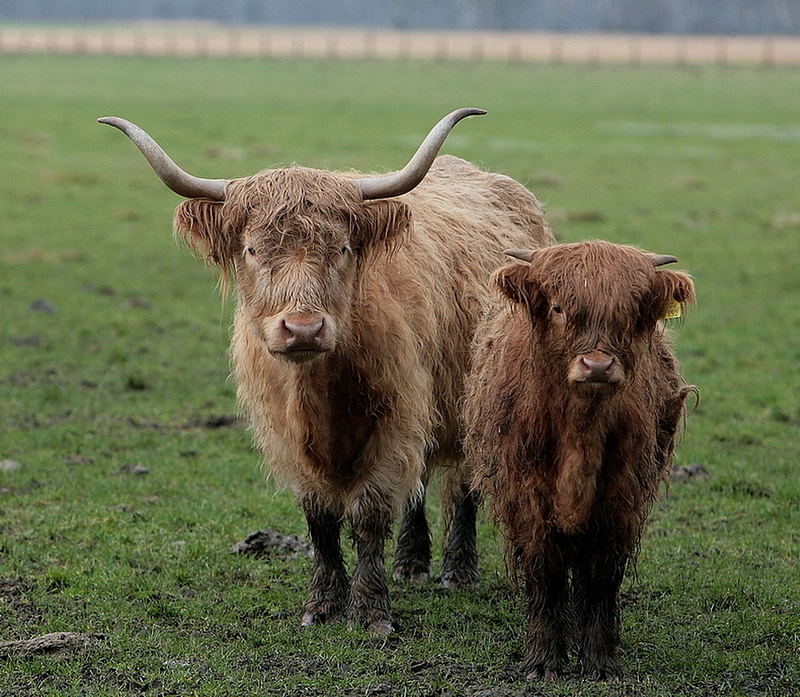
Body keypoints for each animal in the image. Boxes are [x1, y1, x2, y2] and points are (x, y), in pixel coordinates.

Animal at [100, 107, 556, 632]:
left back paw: (458, 572)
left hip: (472, 398)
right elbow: (320, 517)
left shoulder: (396, 419)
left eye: (341, 249)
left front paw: (370, 612)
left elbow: (369, 512)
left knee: (462, 483)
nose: (302, 329)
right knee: (419, 484)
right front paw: (321, 606)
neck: (320, 391)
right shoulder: (288, 433)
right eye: (252, 250)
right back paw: (411, 564)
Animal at [462, 241, 692, 680]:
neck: (580, 432)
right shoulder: (529, 500)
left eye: (631, 311)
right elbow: (545, 576)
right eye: (558, 308)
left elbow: (601, 580)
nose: (597, 366)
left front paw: (600, 661)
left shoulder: (620, 500)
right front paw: (543, 660)